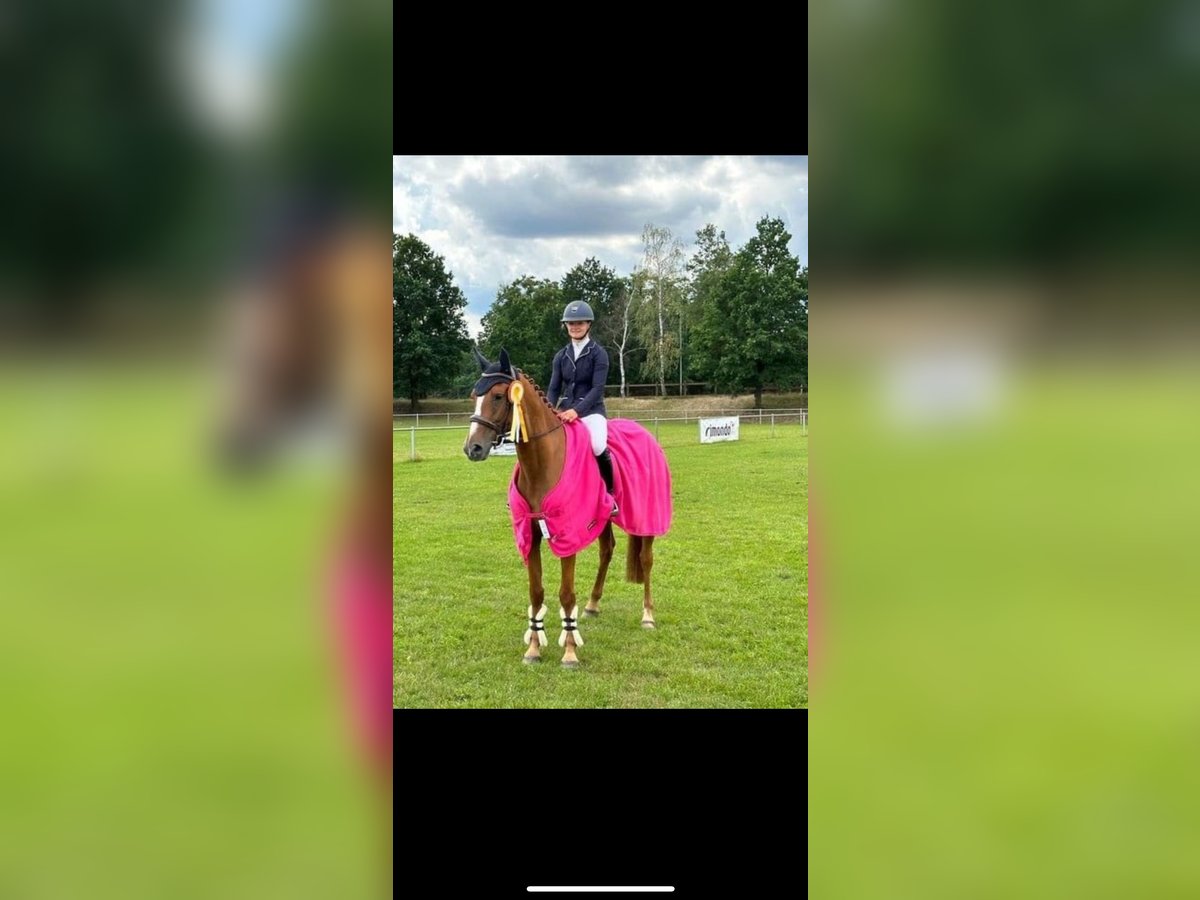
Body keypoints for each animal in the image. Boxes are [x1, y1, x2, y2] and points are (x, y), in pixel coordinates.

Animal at [464, 347, 672, 667]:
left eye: (498, 396)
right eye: (475, 394)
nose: (472, 448)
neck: (541, 464)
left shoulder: (568, 535)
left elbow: (565, 594)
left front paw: (570, 653)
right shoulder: (531, 535)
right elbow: (536, 592)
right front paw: (533, 649)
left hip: (646, 517)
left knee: (646, 560)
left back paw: (648, 616)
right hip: (603, 518)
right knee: (606, 550)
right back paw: (593, 604)